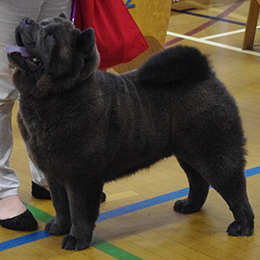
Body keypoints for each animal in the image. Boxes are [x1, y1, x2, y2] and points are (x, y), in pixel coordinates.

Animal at [7, 14, 254, 250]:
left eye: (51, 36)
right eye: (42, 24)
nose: (26, 20)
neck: (52, 96)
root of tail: (206, 74)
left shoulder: (81, 177)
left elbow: (80, 212)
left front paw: (77, 239)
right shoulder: (54, 174)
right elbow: (61, 206)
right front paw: (59, 227)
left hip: (215, 155)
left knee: (236, 191)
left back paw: (243, 227)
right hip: (188, 154)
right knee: (199, 183)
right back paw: (189, 206)